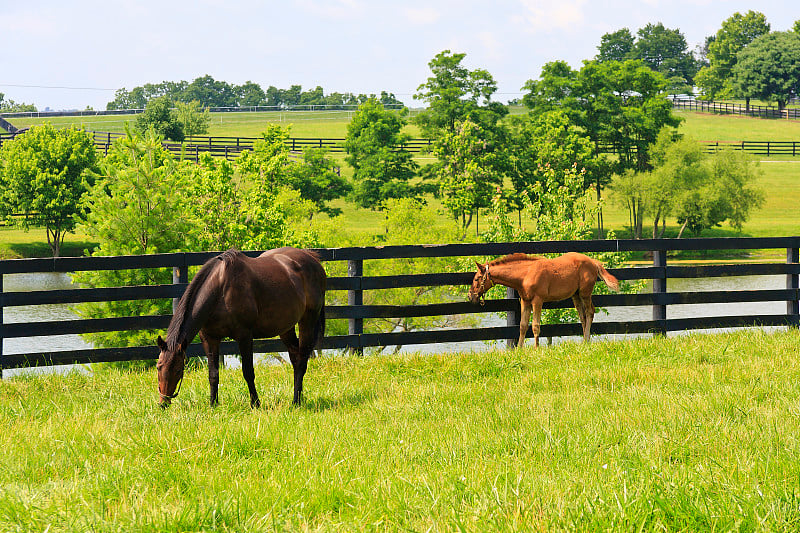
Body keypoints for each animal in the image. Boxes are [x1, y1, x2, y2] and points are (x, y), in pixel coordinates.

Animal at [156, 246, 324, 408]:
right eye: (158, 367)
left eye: (178, 370)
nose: (163, 403)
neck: (220, 290)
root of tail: (312, 258)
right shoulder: (210, 338)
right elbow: (213, 374)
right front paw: (213, 404)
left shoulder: (244, 336)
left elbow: (248, 372)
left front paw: (255, 404)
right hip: (285, 327)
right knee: (295, 358)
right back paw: (297, 399)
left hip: (308, 319)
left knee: (302, 360)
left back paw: (296, 402)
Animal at [468, 251, 620, 348]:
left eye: (476, 279)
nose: (470, 296)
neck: (525, 274)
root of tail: (593, 262)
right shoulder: (525, 301)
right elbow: (523, 326)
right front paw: (519, 349)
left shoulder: (537, 301)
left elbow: (535, 326)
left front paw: (536, 349)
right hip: (576, 295)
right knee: (582, 315)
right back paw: (584, 340)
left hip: (585, 293)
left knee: (589, 312)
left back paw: (586, 341)